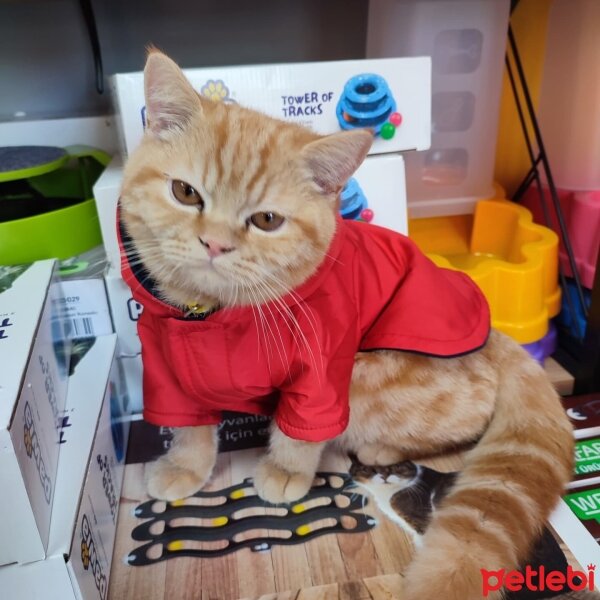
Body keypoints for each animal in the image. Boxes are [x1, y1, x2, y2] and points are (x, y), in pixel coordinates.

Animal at [119, 49, 576, 596]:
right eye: (185, 192)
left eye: (267, 221)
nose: (215, 244)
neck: (214, 314)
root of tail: (495, 338)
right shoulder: (166, 367)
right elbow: (189, 426)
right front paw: (185, 467)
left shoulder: (321, 374)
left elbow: (300, 431)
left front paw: (285, 471)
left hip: (374, 373)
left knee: (458, 423)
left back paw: (371, 448)